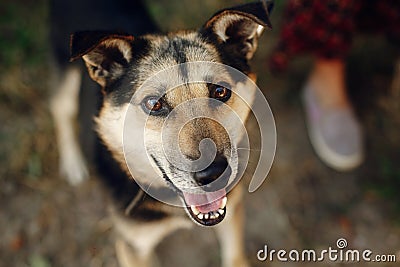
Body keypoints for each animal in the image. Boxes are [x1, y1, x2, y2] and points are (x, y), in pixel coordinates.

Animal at [53, 1, 274, 266]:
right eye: (154, 104)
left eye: (220, 91)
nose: (213, 175)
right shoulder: (133, 246)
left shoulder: (232, 215)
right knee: (60, 109)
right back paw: (73, 163)